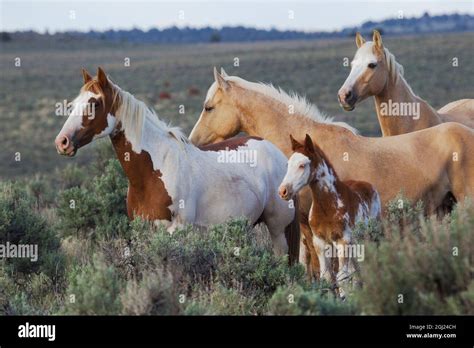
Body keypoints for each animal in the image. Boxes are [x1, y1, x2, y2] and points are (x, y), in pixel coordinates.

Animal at [54, 67, 300, 264]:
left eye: (94, 103)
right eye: (73, 104)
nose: (62, 142)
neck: (154, 171)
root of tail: (279, 154)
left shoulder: (176, 231)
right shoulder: (144, 232)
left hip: (278, 230)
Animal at [280, 133, 380, 286]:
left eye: (302, 165)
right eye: (287, 165)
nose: (283, 191)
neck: (327, 208)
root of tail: (369, 185)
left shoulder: (343, 241)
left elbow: (342, 278)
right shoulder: (320, 243)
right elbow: (326, 276)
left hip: (369, 239)